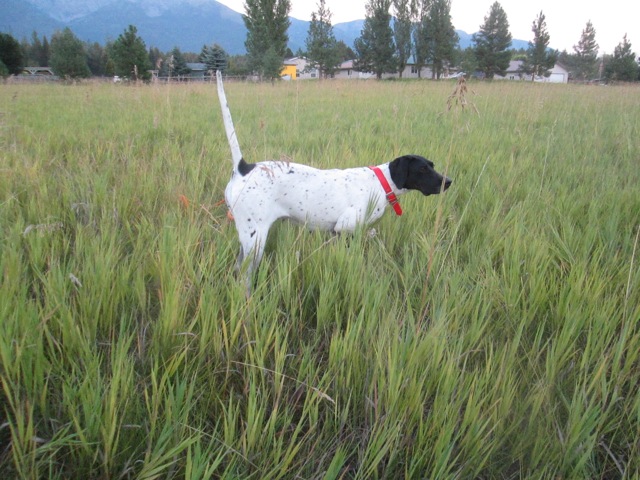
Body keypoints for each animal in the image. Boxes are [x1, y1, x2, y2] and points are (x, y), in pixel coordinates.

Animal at [215, 71, 450, 284]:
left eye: (432, 165)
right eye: (423, 169)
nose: (448, 182)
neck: (381, 183)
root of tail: (243, 168)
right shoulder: (345, 229)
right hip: (254, 238)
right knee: (242, 274)